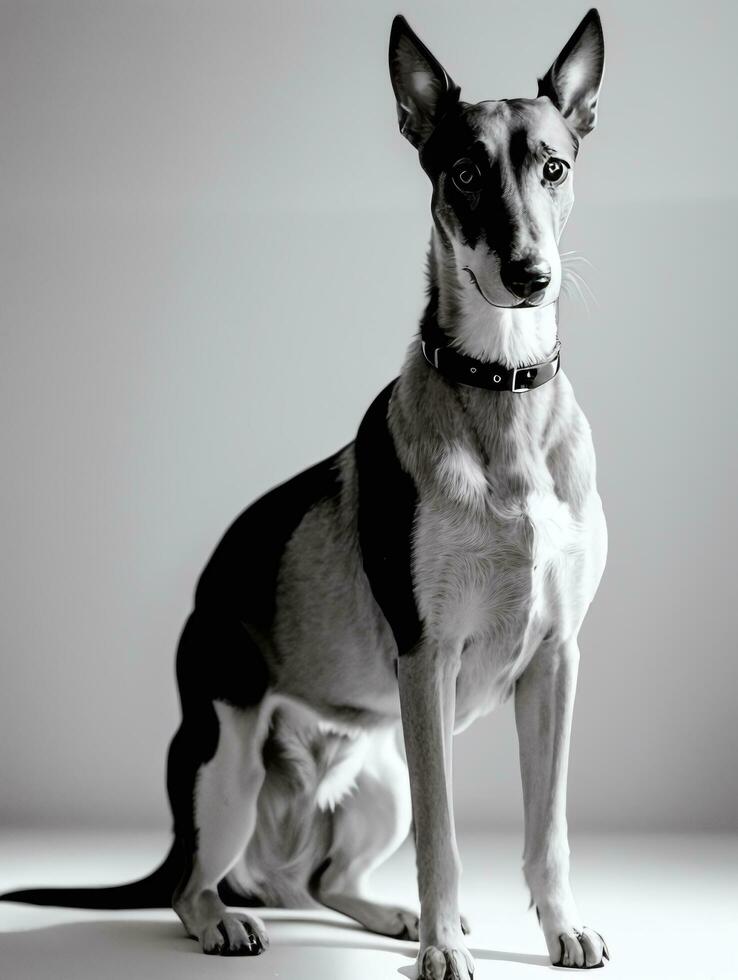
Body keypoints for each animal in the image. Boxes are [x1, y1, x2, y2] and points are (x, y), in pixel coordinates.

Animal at [1, 9, 608, 980]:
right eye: (464, 171)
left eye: (554, 167)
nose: (529, 276)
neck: (499, 387)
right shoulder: (426, 663)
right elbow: (446, 838)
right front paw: (444, 947)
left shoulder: (555, 663)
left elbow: (545, 829)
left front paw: (556, 928)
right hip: (228, 770)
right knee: (195, 885)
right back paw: (230, 921)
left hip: (380, 778)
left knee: (317, 880)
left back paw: (388, 913)